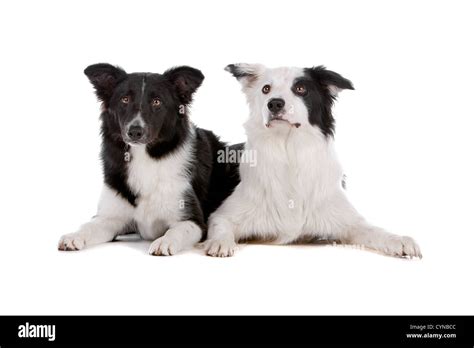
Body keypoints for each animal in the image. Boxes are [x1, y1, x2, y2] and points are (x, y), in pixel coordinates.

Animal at [59, 64, 241, 256]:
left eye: (157, 102)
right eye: (125, 99)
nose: (135, 131)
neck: (145, 157)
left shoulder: (193, 221)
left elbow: (176, 230)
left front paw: (164, 241)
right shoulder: (109, 217)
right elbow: (89, 226)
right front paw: (74, 236)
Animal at [204, 63, 422, 258]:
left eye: (301, 89)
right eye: (266, 89)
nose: (274, 103)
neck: (289, 150)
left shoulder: (349, 221)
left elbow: (374, 230)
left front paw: (399, 240)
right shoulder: (223, 215)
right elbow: (221, 226)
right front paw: (219, 242)